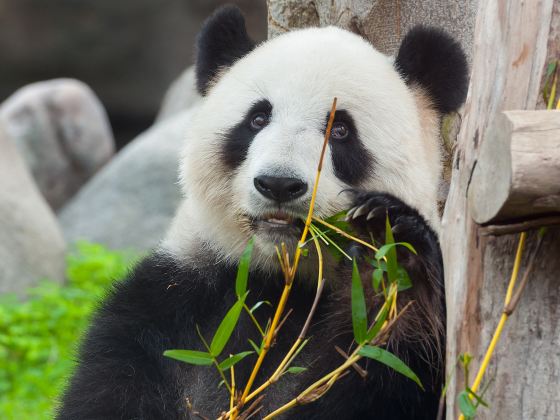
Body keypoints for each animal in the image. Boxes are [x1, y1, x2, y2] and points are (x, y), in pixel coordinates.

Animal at [58, 4, 468, 420]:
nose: (279, 184)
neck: (280, 279)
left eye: (341, 130)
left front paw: (392, 254)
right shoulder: (172, 307)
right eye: (257, 118)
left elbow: (377, 369)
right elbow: (111, 386)